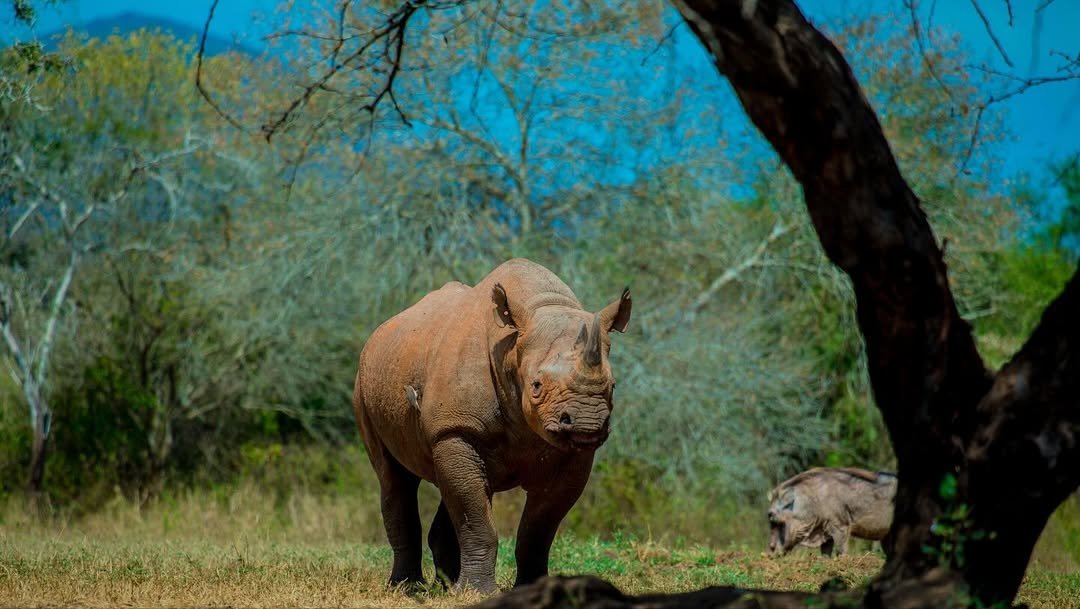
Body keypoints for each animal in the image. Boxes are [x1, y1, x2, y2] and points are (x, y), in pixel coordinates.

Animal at [353, 258, 631, 593]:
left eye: (613, 387)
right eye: (536, 386)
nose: (587, 423)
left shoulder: (573, 455)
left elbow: (538, 529)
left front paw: (529, 587)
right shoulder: (457, 427)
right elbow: (477, 520)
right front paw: (476, 592)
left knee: (450, 482)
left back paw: (446, 586)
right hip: (364, 384)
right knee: (394, 476)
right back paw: (408, 588)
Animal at [767, 467, 897, 557]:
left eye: (773, 515)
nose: (769, 553)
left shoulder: (842, 527)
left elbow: (840, 551)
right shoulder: (825, 532)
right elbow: (825, 554)